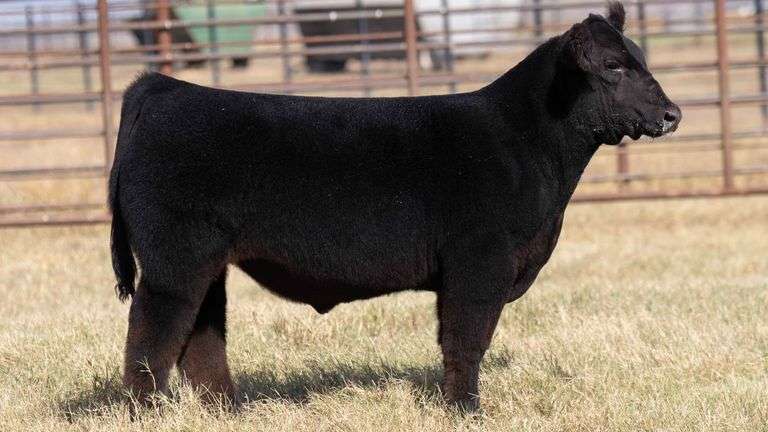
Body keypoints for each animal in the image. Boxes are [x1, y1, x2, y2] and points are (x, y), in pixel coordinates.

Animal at [109, 2, 680, 411]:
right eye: (613, 66)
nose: (672, 113)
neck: (526, 143)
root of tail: (162, 87)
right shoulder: (480, 262)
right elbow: (466, 338)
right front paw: (465, 410)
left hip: (207, 262)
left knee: (201, 336)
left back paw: (228, 409)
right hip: (173, 260)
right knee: (153, 333)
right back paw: (147, 411)